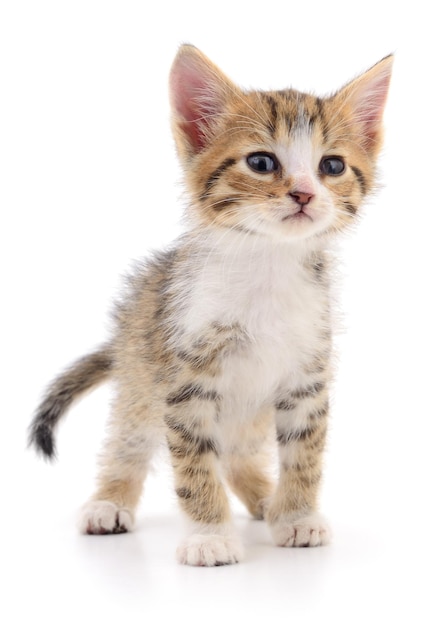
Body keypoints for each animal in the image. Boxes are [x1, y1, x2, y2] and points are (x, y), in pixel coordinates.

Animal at [28, 45, 392, 564]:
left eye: (333, 167)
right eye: (261, 162)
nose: (304, 193)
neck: (267, 265)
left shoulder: (306, 377)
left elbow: (304, 454)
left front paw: (296, 515)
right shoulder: (186, 381)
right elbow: (195, 465)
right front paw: (210, 535)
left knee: (238, 453)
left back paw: (267, 500)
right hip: (140, 379)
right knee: (127, 441)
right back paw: (109, 500)